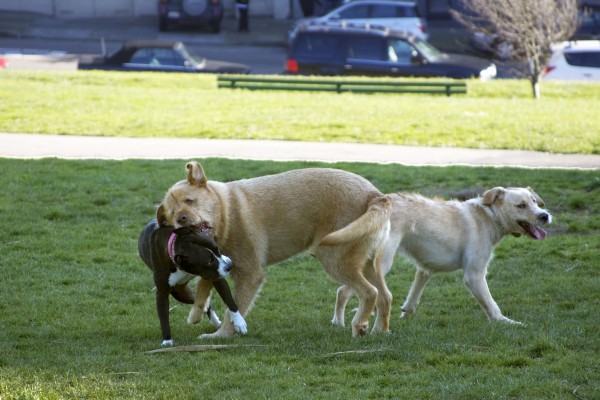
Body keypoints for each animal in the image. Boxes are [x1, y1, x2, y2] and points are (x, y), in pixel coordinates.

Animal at [156, 161, 394, 336]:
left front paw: (221, 335)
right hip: (370, 264)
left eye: (190, 200)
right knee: (385, 295)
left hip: (335, 260)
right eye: (171, 212)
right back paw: (379, 331)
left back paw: (359, 326)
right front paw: (196, 314)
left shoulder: (250, 274)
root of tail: (376, 196)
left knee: (370, 293)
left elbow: (234, 310)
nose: (181, 219)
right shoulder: (214, 264)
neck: (226, 214)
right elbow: (203, 287)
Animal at [332, 186, 552, 326]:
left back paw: (341, 322)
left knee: (347, 290)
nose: (545, 215)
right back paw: (343, 322)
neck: (489, 216)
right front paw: (507, 323)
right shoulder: (474, 275)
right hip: (382, 264)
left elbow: (413, 299)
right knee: (345, 290)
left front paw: (404, 314)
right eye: (521, 205)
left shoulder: (425, 269)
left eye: (534, 201)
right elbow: (492, 306)